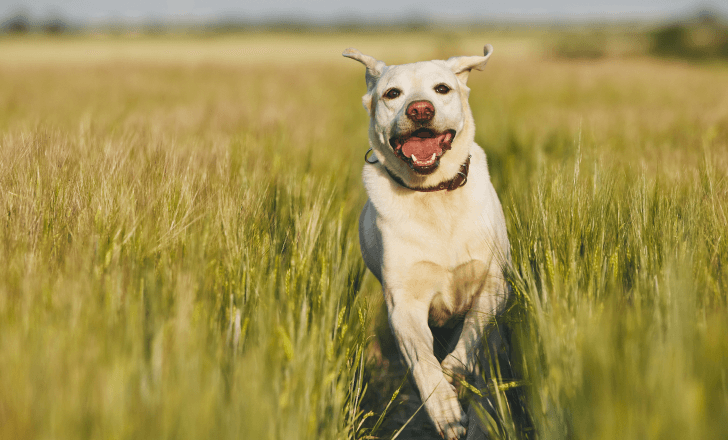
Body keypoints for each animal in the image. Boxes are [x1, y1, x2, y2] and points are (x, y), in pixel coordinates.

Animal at [342, 46, 510, 438]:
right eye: (393, 94)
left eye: (442, 88)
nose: (420, 110)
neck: (433, 194)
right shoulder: (403, 304)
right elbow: (422, 360)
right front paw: (444, 408)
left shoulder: (493, 285)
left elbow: (472, 338)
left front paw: (455, 373)